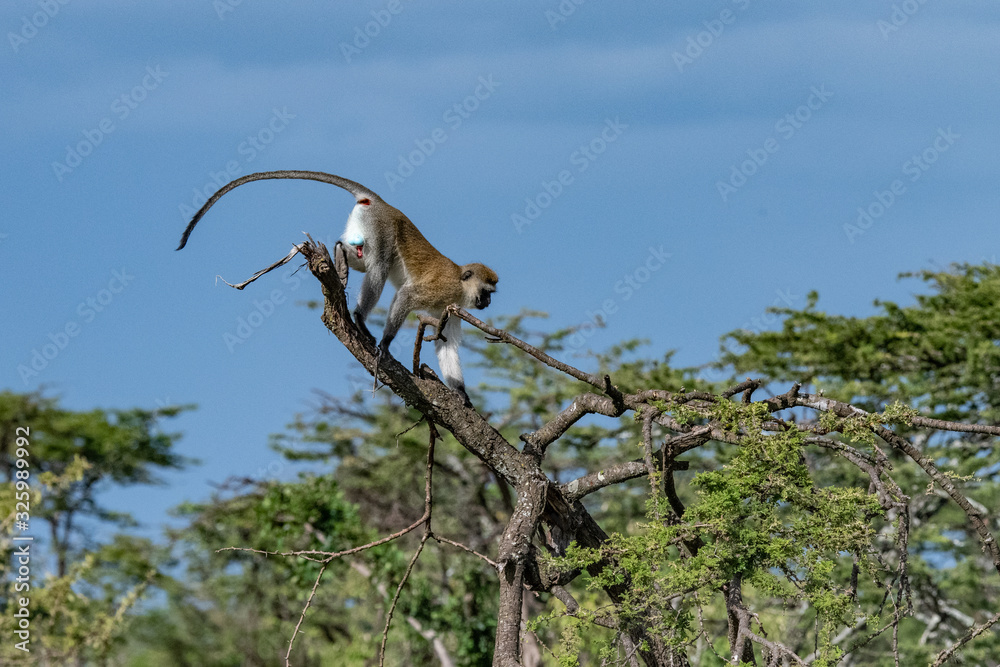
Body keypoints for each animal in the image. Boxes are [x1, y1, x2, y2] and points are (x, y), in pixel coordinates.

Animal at [177, 170, 499, 405]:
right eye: (487, 292)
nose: (488, 303)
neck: (458, 284)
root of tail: (382, 204)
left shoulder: (449, 309)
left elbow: (446, 344)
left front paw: (460, 392)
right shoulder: (441, 290)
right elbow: (406, 295)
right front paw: (385, 344)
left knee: (362, 258)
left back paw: (339, 254)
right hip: (380, 227)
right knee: (379, 267)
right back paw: (359, 319)